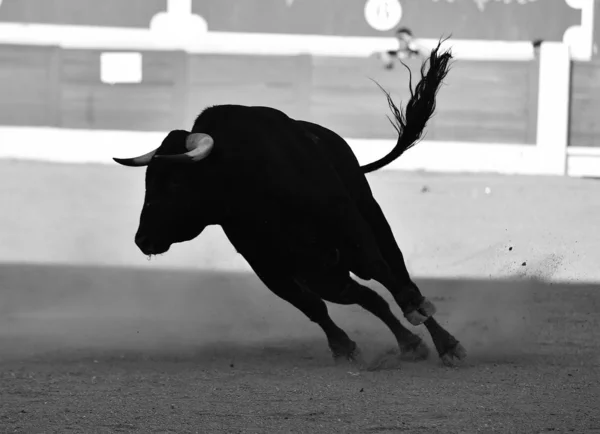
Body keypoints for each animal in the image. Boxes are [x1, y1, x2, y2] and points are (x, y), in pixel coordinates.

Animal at [113, 42, 468, 366]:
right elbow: (313, 307)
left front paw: (444, 341)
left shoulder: (350, 231)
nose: (142, 240)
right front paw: (343, 347)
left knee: (397, 276)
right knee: (365, 296)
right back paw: (409, 344)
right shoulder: (269, 265)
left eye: (175, 182)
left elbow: (388, 279)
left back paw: (436, 339)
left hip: (368, 222)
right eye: (148, 181)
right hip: (324, 272)